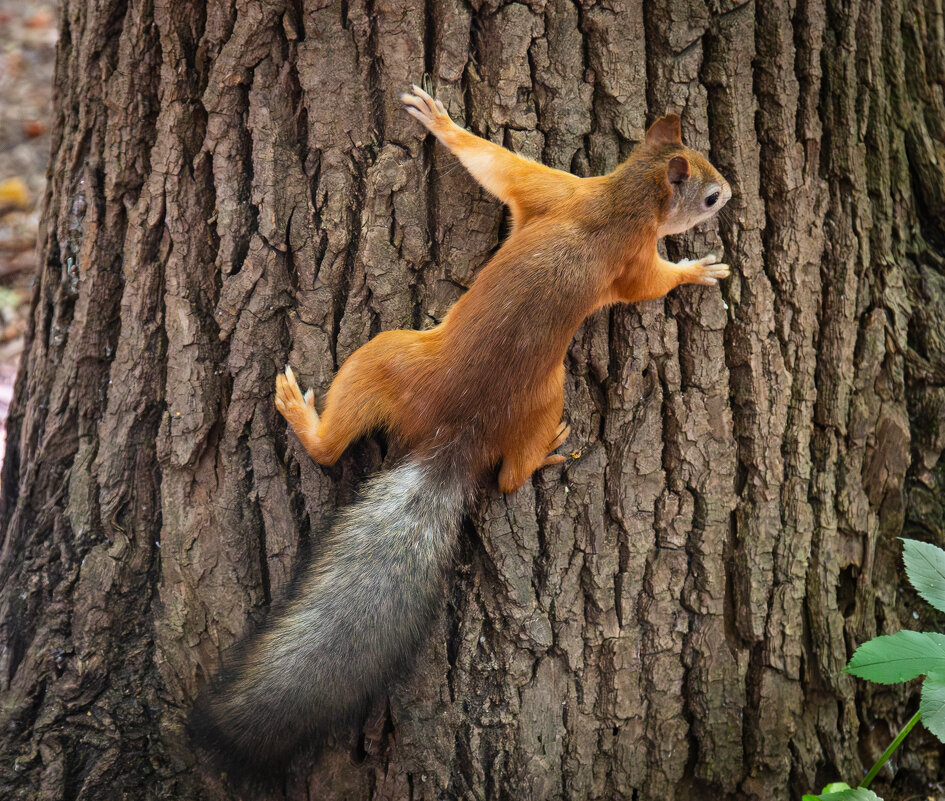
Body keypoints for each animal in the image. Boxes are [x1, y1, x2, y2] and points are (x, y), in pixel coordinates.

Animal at [194, 84, 732, 772]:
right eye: (710, 193)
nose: (732, 195)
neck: (622, 199)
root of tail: (456, 437)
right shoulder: (569, 199)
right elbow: (497, 165)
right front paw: (441, 120)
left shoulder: (576, 211)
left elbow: (506, 173)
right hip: (462, 374)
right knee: (469, 473)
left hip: (410, 361)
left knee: (458, 471)